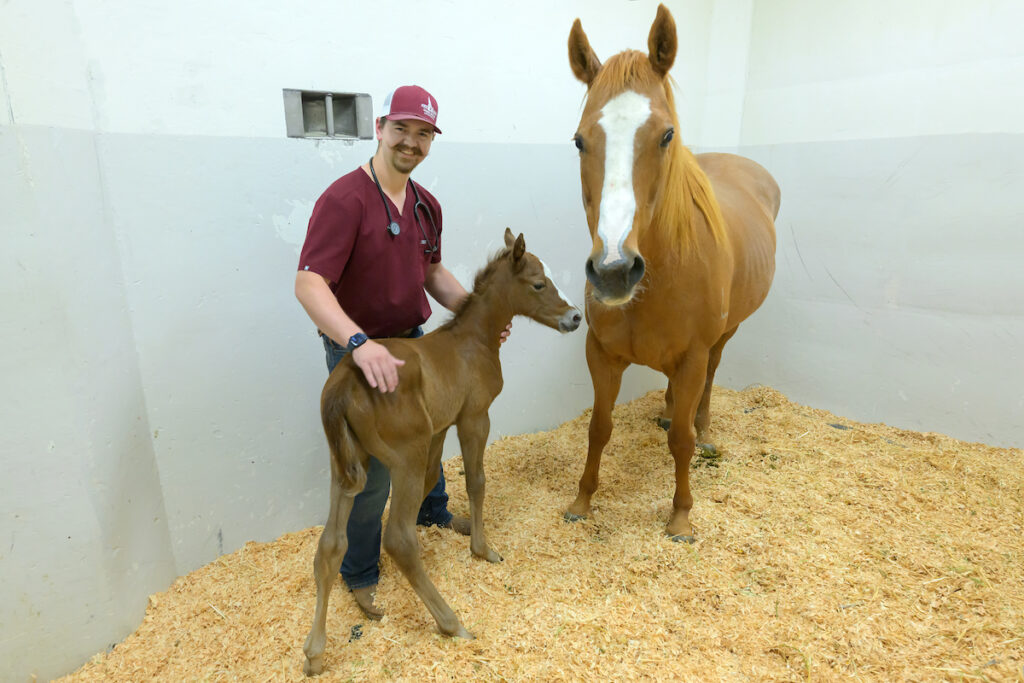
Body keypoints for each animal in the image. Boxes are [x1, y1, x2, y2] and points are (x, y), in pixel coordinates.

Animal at [303, 229, 582, 676]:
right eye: (539, 284)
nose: (574, 318)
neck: (473, 342)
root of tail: (345, 380)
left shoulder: (438, 431)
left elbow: (436, 479)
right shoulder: (474, 418)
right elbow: (477, 481)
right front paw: (483, 550)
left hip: (347, 465)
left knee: (330, 546)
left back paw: (314, 652)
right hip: (404, 456)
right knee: (397, 539)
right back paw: (452, 623)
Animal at [563, 4, 780, 542]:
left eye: (666, 135)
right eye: (579, 140)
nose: (614, 270)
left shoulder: (693, 356)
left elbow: (680, 440)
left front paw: (681, 516)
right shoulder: (600, 354)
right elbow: (598, 429)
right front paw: (582, 501)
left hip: (725, 335)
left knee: (706, 388)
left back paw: (705, 431)